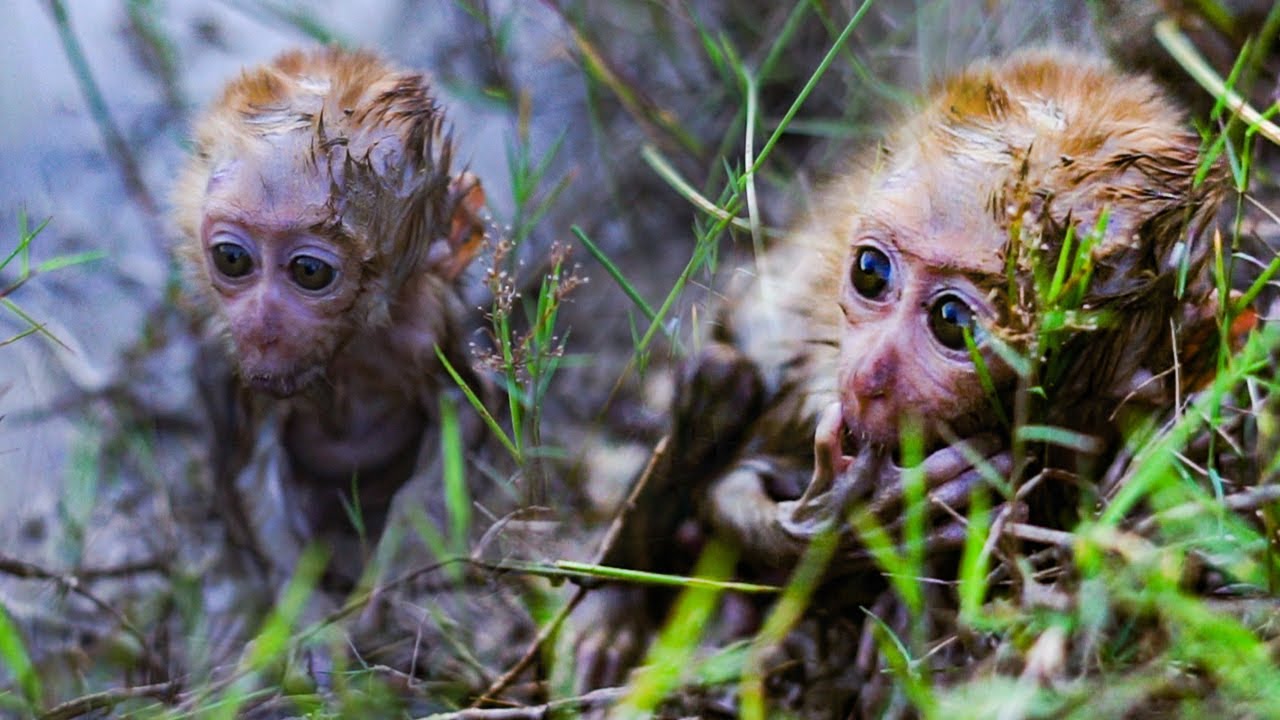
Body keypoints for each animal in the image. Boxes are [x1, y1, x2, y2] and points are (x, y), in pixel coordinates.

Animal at [173, 47, 492, 585]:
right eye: (232, 259)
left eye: (310, 270)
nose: (261, 324)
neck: (347, 353)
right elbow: (251, 478)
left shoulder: (424, 329)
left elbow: (463, 415)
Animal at [576, 48, 1241, 695]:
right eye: (870, 272)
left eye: (952, 321)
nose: (867, 376)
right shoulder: (809, 367)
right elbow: (726, 484)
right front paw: (855, 523)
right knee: (718, 381)